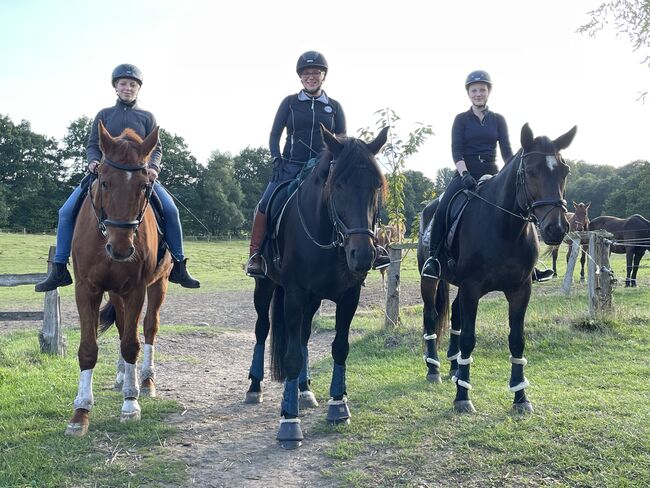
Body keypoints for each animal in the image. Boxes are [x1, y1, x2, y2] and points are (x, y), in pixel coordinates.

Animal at [65, 121, 172, 434]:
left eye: (144, 186)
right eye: (104, 182)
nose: (121, 248)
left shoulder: (136, 289)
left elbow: (131, 343)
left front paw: (130, 404)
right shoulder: (87, 289)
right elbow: (88, 348)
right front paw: (80, 413)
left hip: (158, 285)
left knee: (148, 328)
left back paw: (144, 381)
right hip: (115, 292)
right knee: (125, 324)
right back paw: (124, 376)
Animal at [243, 127, 384, 450]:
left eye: (375, 186)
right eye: (338, 184)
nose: (363, 255)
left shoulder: (349, 297)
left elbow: (340, 347)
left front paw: (338, 405)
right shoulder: (294, 295)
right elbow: (292, 355)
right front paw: (289, 422)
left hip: (313, 301)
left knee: (304, 335)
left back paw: (304, 389)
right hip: (266, 287)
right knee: (262, 329)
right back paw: (255, 386)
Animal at [416, 124, 572, 414]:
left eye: (564, 171)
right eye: (530, 171)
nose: (556, 228)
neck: (504, 228)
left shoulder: (521, 290)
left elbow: (517, 340)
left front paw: (521, 397)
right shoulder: (472, 288)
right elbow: (469, 338)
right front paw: (462, 397)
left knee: (455, 316)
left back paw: (455, 367)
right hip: (431, 278)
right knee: (431, 315)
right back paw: (434, 369)